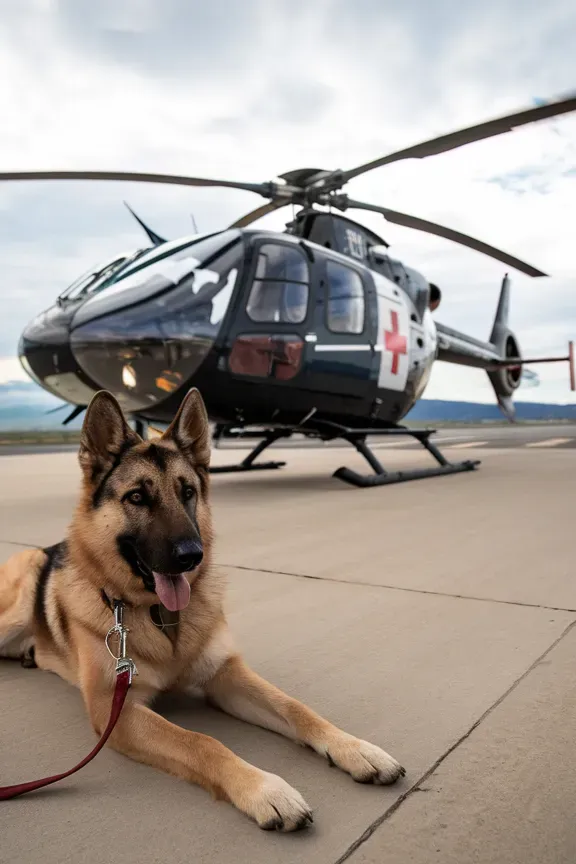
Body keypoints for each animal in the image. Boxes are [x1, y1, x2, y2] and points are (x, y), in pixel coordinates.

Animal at [0, 390, 404, 832]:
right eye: (137, 497)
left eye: (188, 492)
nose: (192, 556)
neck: (160, 617)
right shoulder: (116, 711)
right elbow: (202, 741)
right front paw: (265, 789)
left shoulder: (225, 678)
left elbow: (297, 708)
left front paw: (355, 748)